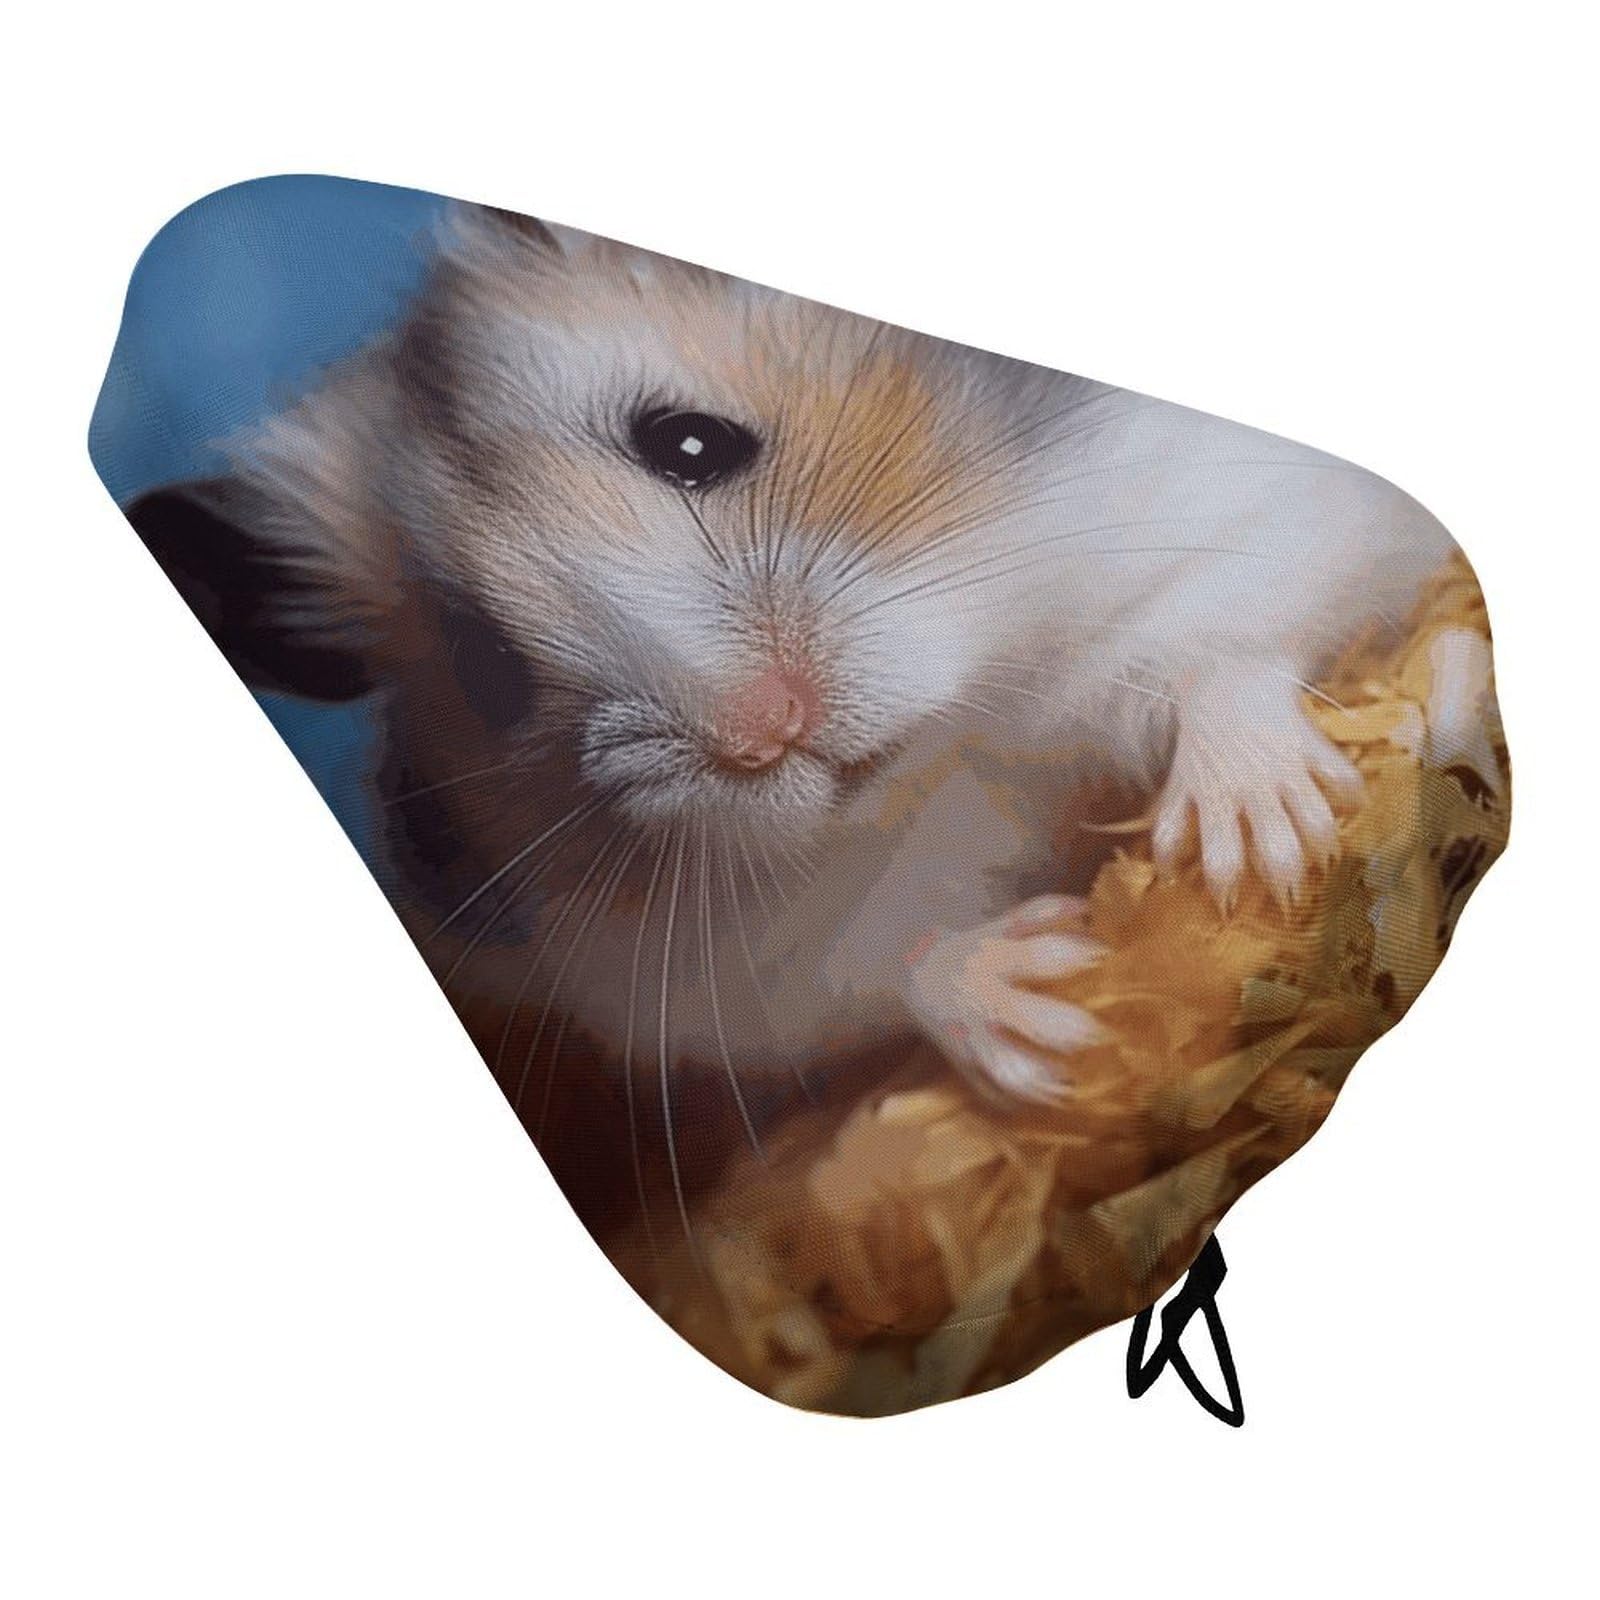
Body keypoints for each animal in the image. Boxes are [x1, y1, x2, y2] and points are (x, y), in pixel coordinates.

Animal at [128, 205, 1455, 1135]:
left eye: (690, 442)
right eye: (495, 669)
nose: (767, 733)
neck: (942, 743)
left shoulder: (1233, 502)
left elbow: (1218, 650)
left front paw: (1259, 852)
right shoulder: (700, 973)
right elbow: (890, 967)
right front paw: (1054, 1014)